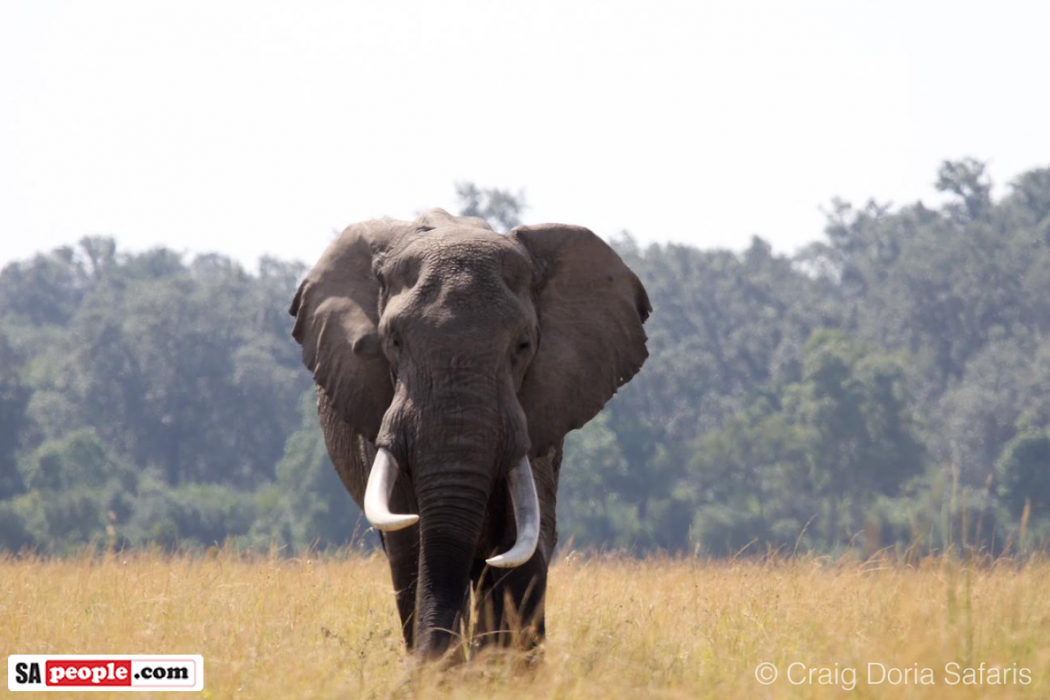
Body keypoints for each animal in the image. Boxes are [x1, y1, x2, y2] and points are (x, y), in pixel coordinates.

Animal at [287, 209, 646, 663]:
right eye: (393, 341)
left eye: (523, 345)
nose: (422, 666)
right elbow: (414, 543)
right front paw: (444, 669)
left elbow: (521, 542)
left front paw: (502, 670)